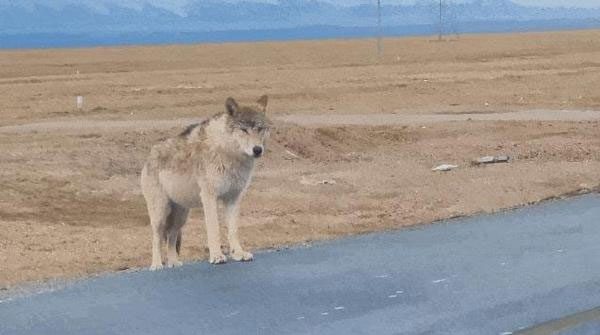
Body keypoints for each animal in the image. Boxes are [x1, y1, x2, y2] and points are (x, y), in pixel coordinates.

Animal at [141, 94, 272, 270]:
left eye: (259, 128)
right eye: (243, 130)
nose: (257, 150)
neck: (229, 153)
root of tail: (150, 154)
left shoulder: (233, 198)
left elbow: (233, 230)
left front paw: (238, 253)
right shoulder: (209, 197)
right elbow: (214, 229)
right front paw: (217, 256)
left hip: (181, 217)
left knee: (171, 237)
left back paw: (174, 263)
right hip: (160, 213)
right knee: (157, 237)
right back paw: (156, 265)